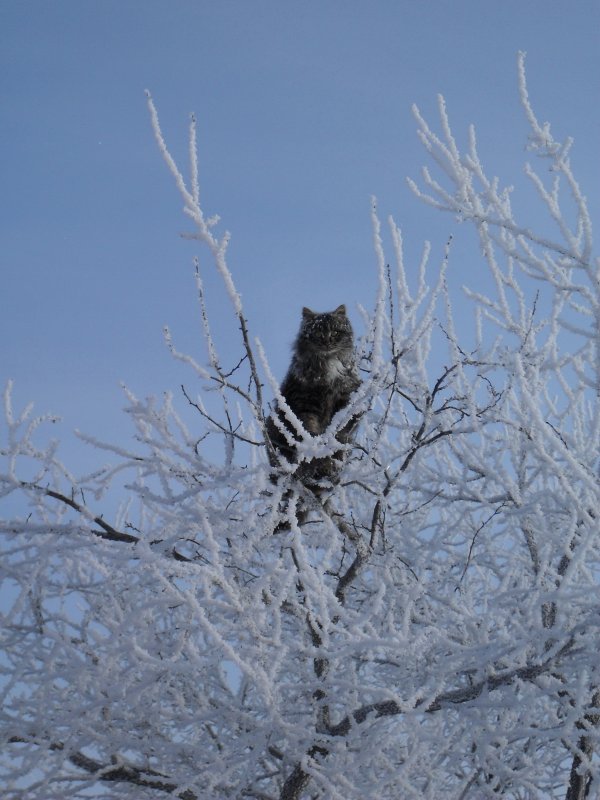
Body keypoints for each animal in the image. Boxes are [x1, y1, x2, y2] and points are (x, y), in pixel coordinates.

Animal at [268, 302, 360, 484]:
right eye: (317, 333)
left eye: (335, 332)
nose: (327, 341)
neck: (329, 364)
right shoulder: (306, 404)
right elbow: (310, 429)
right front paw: (316, 448)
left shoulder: (345, 399)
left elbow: (341, 429)